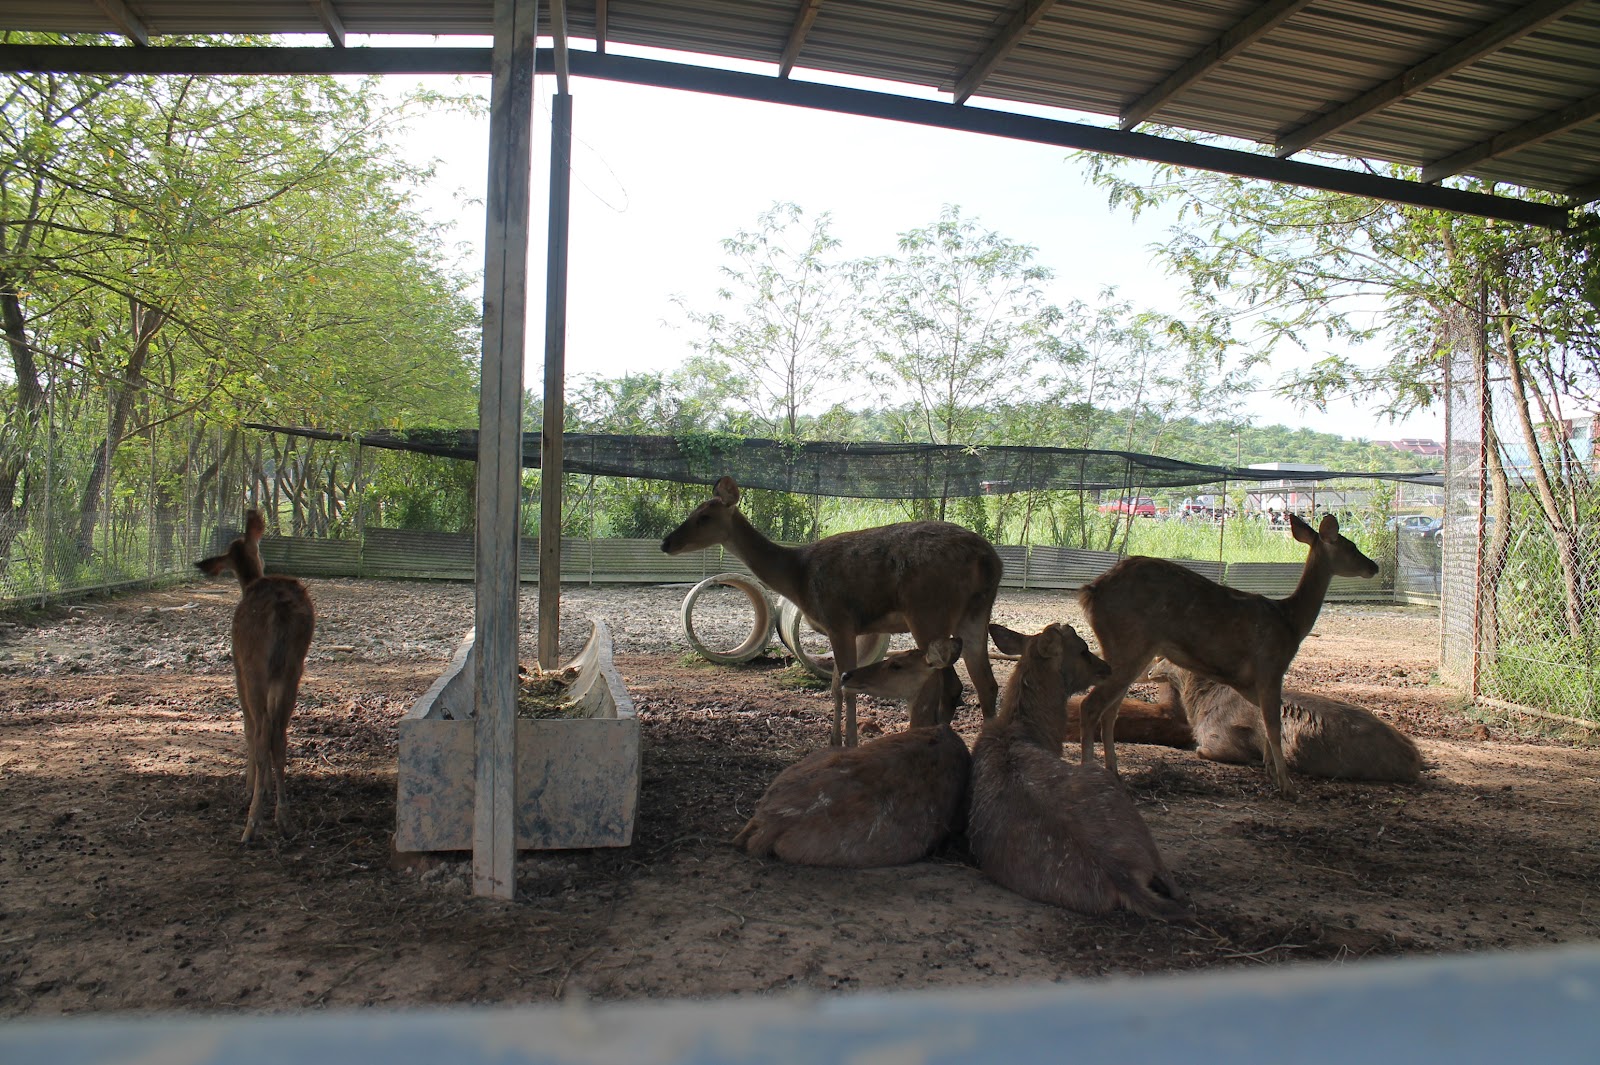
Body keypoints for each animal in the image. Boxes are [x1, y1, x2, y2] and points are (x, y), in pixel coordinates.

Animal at [194, 510, 315, 843]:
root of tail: (279, 609)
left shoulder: (237, 668)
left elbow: (248, 726)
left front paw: (250, 786)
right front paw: (266, 787)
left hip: (254, 665)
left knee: (261, 730)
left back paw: (252, 824)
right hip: (292, 667)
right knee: (279, 733)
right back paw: (283, 818)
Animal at [662, 476, 1001, 746]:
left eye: (704, 516)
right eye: (693, 512)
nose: (666, 543)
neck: (796, 577)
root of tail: (989, 561)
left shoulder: (838, 620)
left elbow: (846, 686)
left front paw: (848, 742)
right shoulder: (846, 628)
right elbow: (837, 684)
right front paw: (833, 739)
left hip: (929, 612)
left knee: (953, 685)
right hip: (975, 615)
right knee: (987, 684)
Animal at [968, 623, 1190, 920]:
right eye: (1083, 649)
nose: (1106, 667)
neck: (1030, 732)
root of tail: (1123, 876)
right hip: (1109, 785)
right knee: (1177, 889)